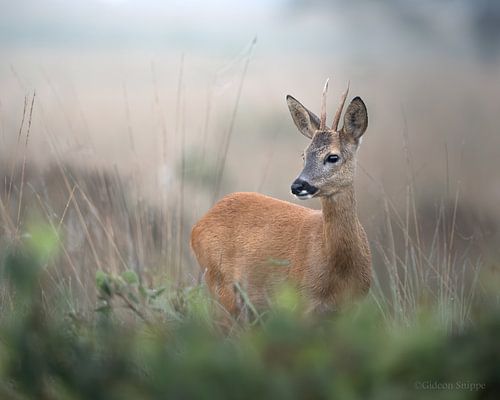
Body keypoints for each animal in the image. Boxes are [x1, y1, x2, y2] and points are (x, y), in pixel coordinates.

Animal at [191, 80, 372, 316]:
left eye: (333, 156)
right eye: (304, 155)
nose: (298, 185)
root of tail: (197, 226)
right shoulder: (301, 302)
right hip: (220, 286)